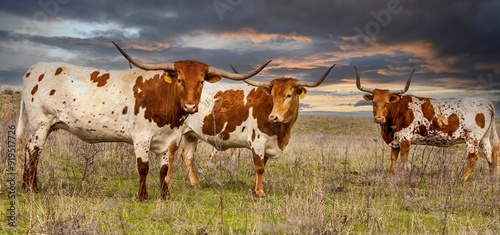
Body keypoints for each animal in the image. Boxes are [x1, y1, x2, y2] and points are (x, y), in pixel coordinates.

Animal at [15, 41, 270, 200]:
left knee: (30, 151)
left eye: (200, 81)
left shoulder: (169, 139)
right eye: (179, 79)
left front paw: (165, 196)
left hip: (45, 126)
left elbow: (164, 169)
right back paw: (32, 188)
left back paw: (28, 186)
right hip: (40, 124)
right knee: (33, 152)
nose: (190, 106)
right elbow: (144, 168)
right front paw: (143, 196)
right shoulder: (141, 138)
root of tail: (34, 68)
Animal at [168, 64, 336, 196]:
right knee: (171, 154)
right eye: (273, 95)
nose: (273, 117)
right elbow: (259, 167)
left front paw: (254, 188)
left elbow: (263, 166)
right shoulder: (258, 142)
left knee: (187, 156)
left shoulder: (268, 146)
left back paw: (195, 184)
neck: (282, 132)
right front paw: (260, 191)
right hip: (175, 131)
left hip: (191, 134)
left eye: (289, 95)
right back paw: (169, 182)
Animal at [354, 66, 498, 180]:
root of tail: (485, 101)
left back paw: (462, 178)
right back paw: (491, 178)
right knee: (489, 154)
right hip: (483, 138)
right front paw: (390, 175)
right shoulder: (395, 141)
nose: (379, 119)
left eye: (387, 103)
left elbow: (403, 159)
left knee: (473, 156)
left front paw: (401, 176)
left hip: (472, 138)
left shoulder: (405, 139)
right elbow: (393, 159)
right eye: (373, 102)